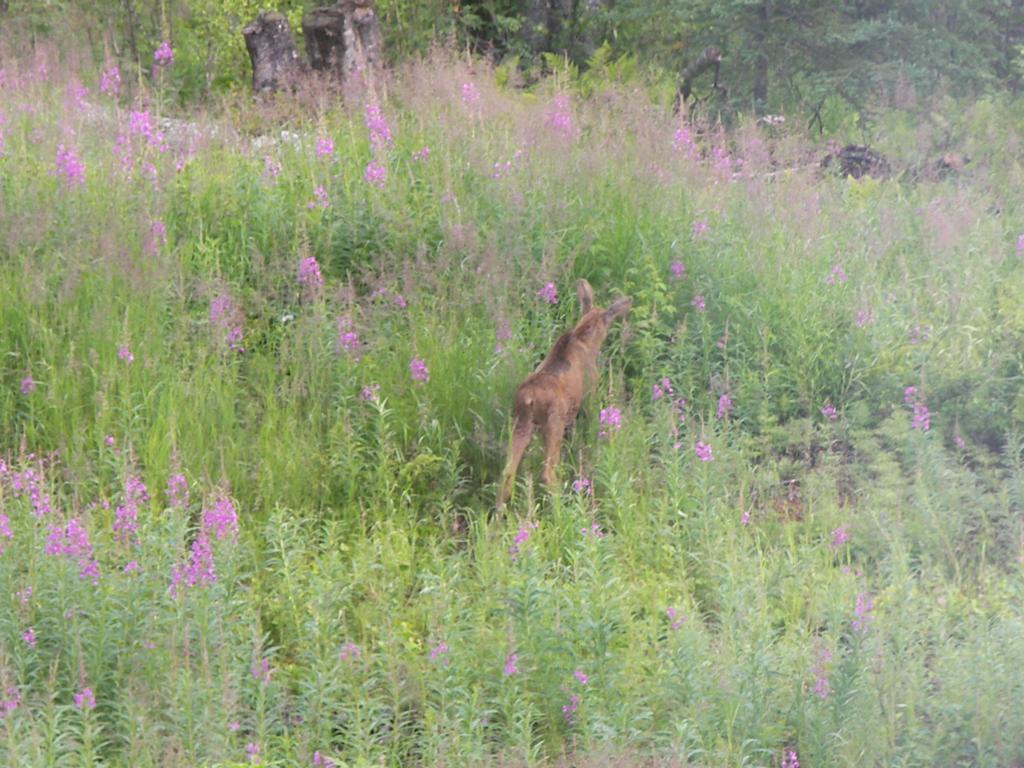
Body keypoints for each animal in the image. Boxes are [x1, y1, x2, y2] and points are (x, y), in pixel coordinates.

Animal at [497, 278, 630, 512]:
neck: (585, 339)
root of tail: (528, 399)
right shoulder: (588, 396)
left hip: (520, 424)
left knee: (507, 471)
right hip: (553, 424)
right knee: (548, 472)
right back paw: (565, 508)